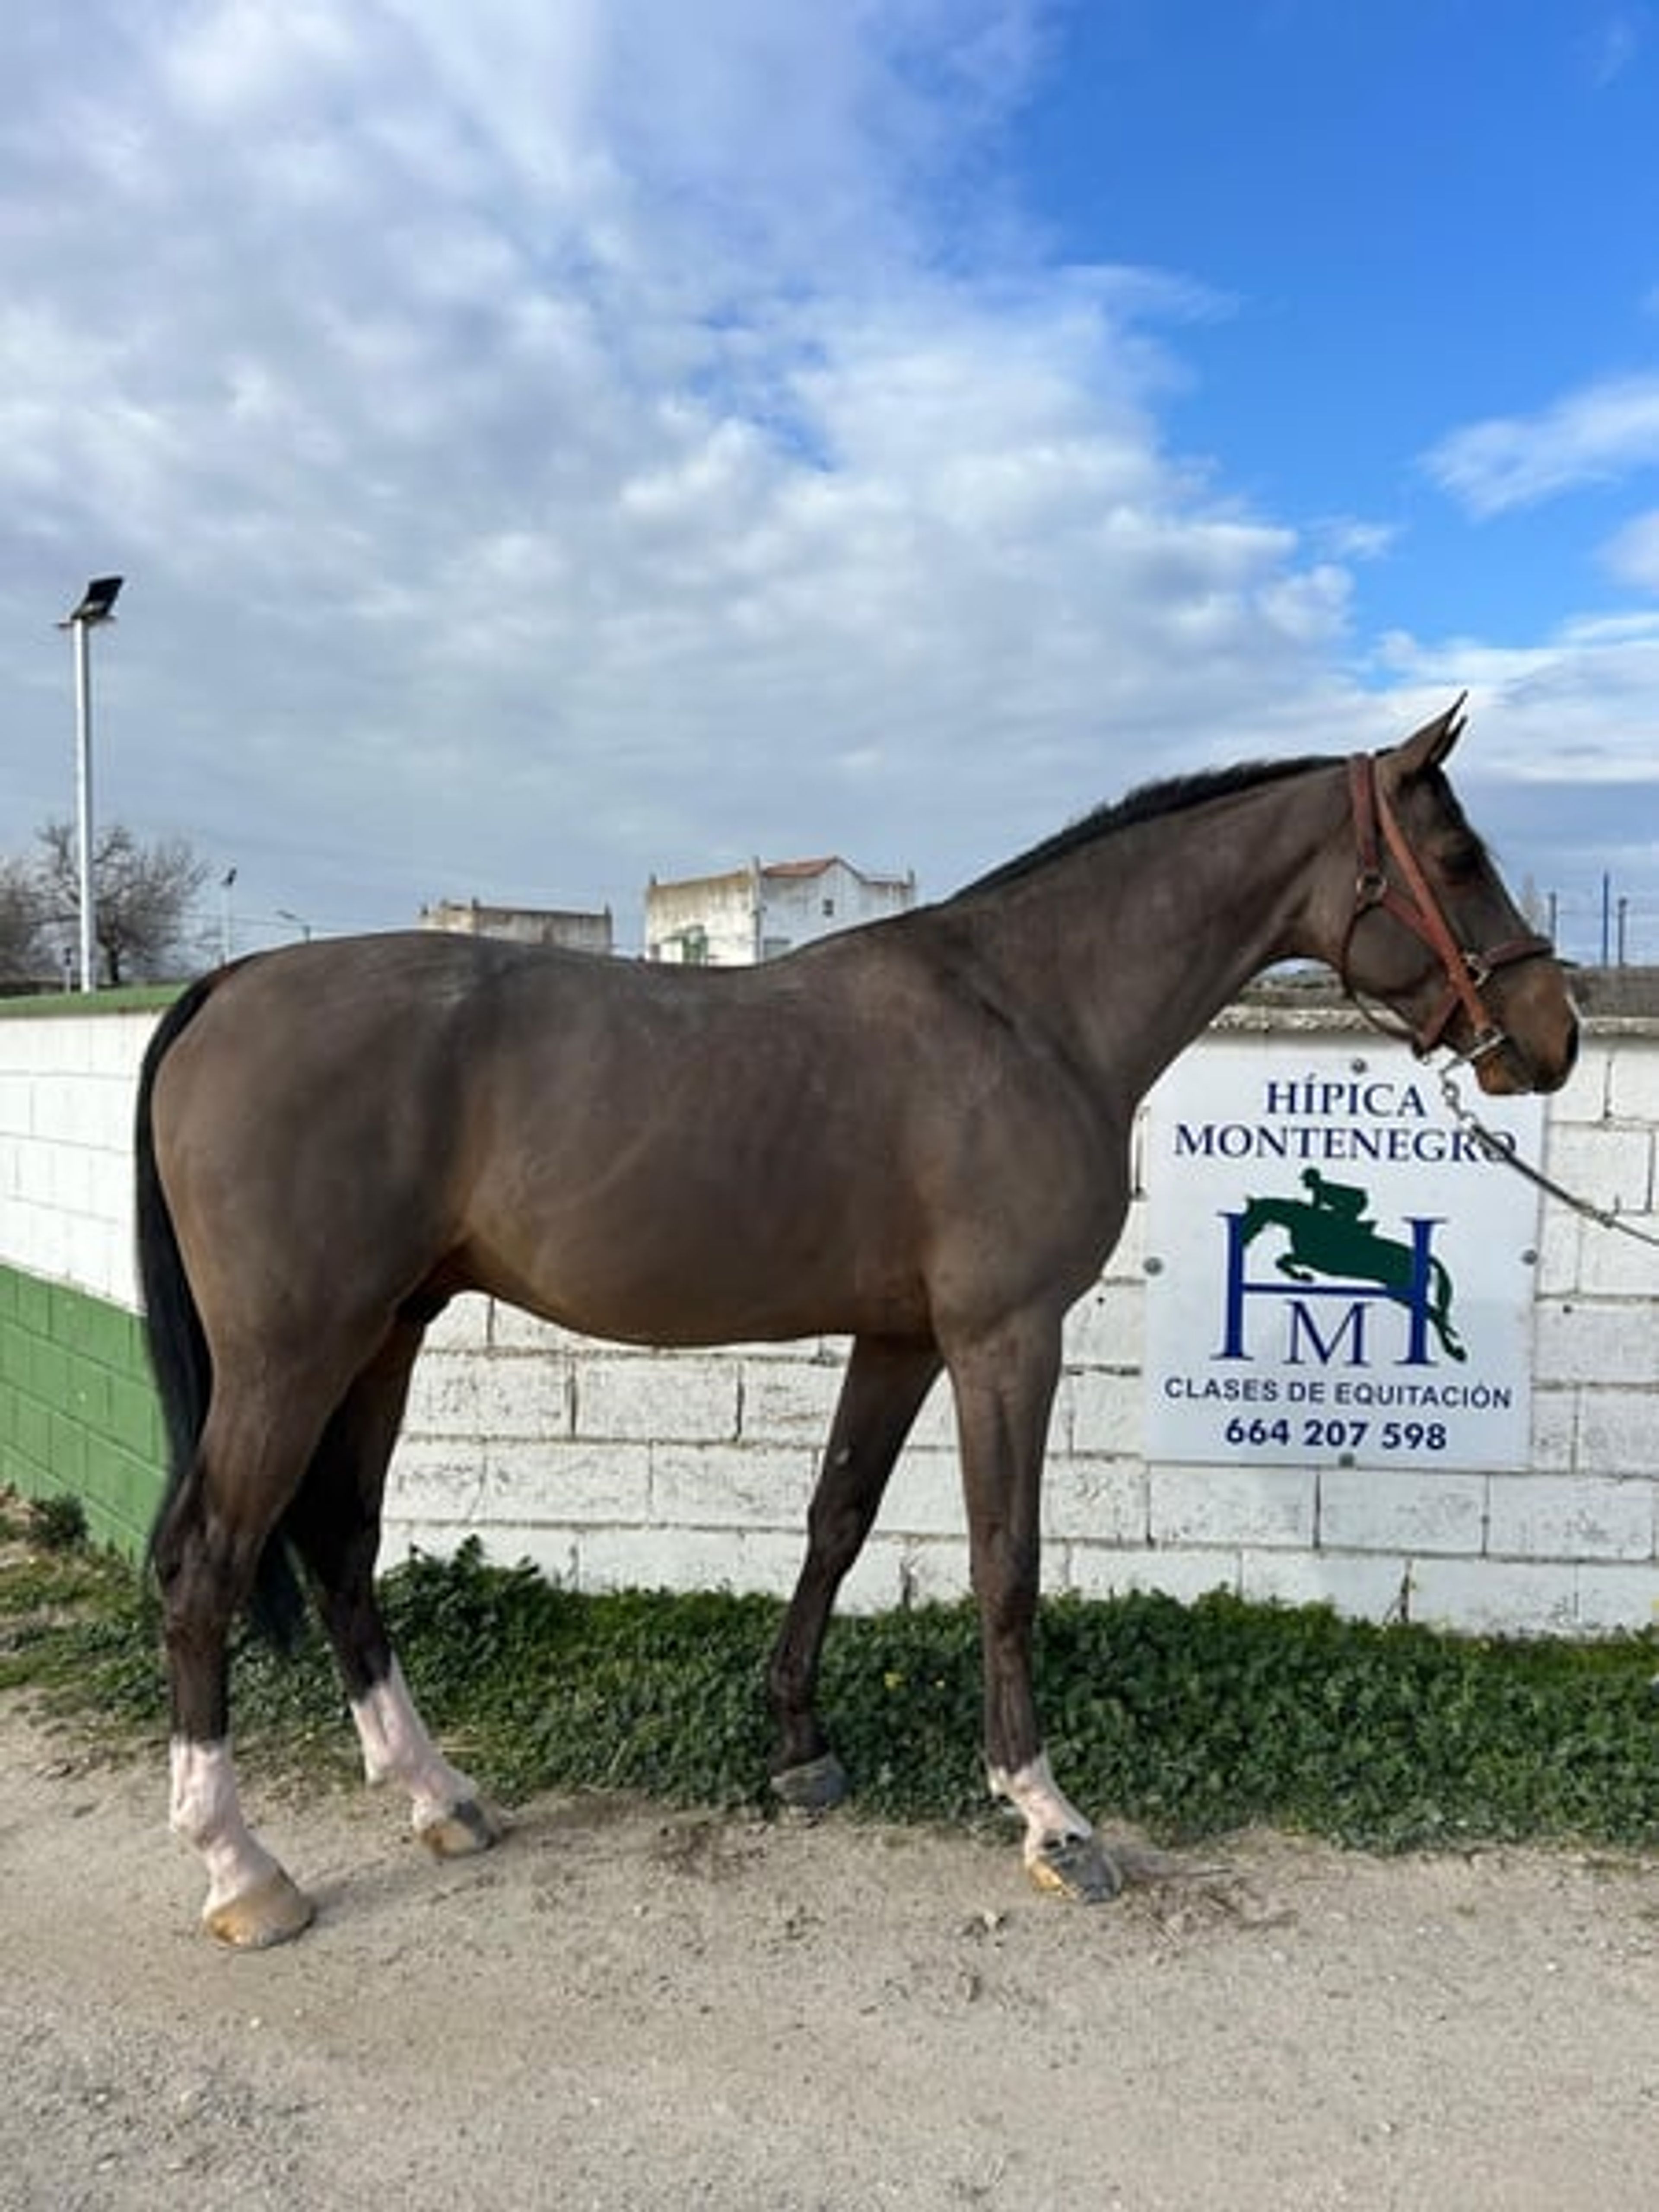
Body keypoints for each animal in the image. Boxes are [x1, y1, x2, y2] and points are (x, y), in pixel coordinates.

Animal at [135, 701, 1577, 1945]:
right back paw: (242, 1867)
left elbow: (836, 1517)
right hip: (292, 1353)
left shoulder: (903, 1339)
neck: (1031, 1010)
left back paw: (437, 1794)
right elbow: (1007, 1560)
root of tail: (231, 986)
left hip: (385, 1331)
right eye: (1456, 856)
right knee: (209, 1562)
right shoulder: (1004, 1336)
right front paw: (1048, 1815)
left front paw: (798, 1748)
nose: (1550, 1034)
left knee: (340, 1538)